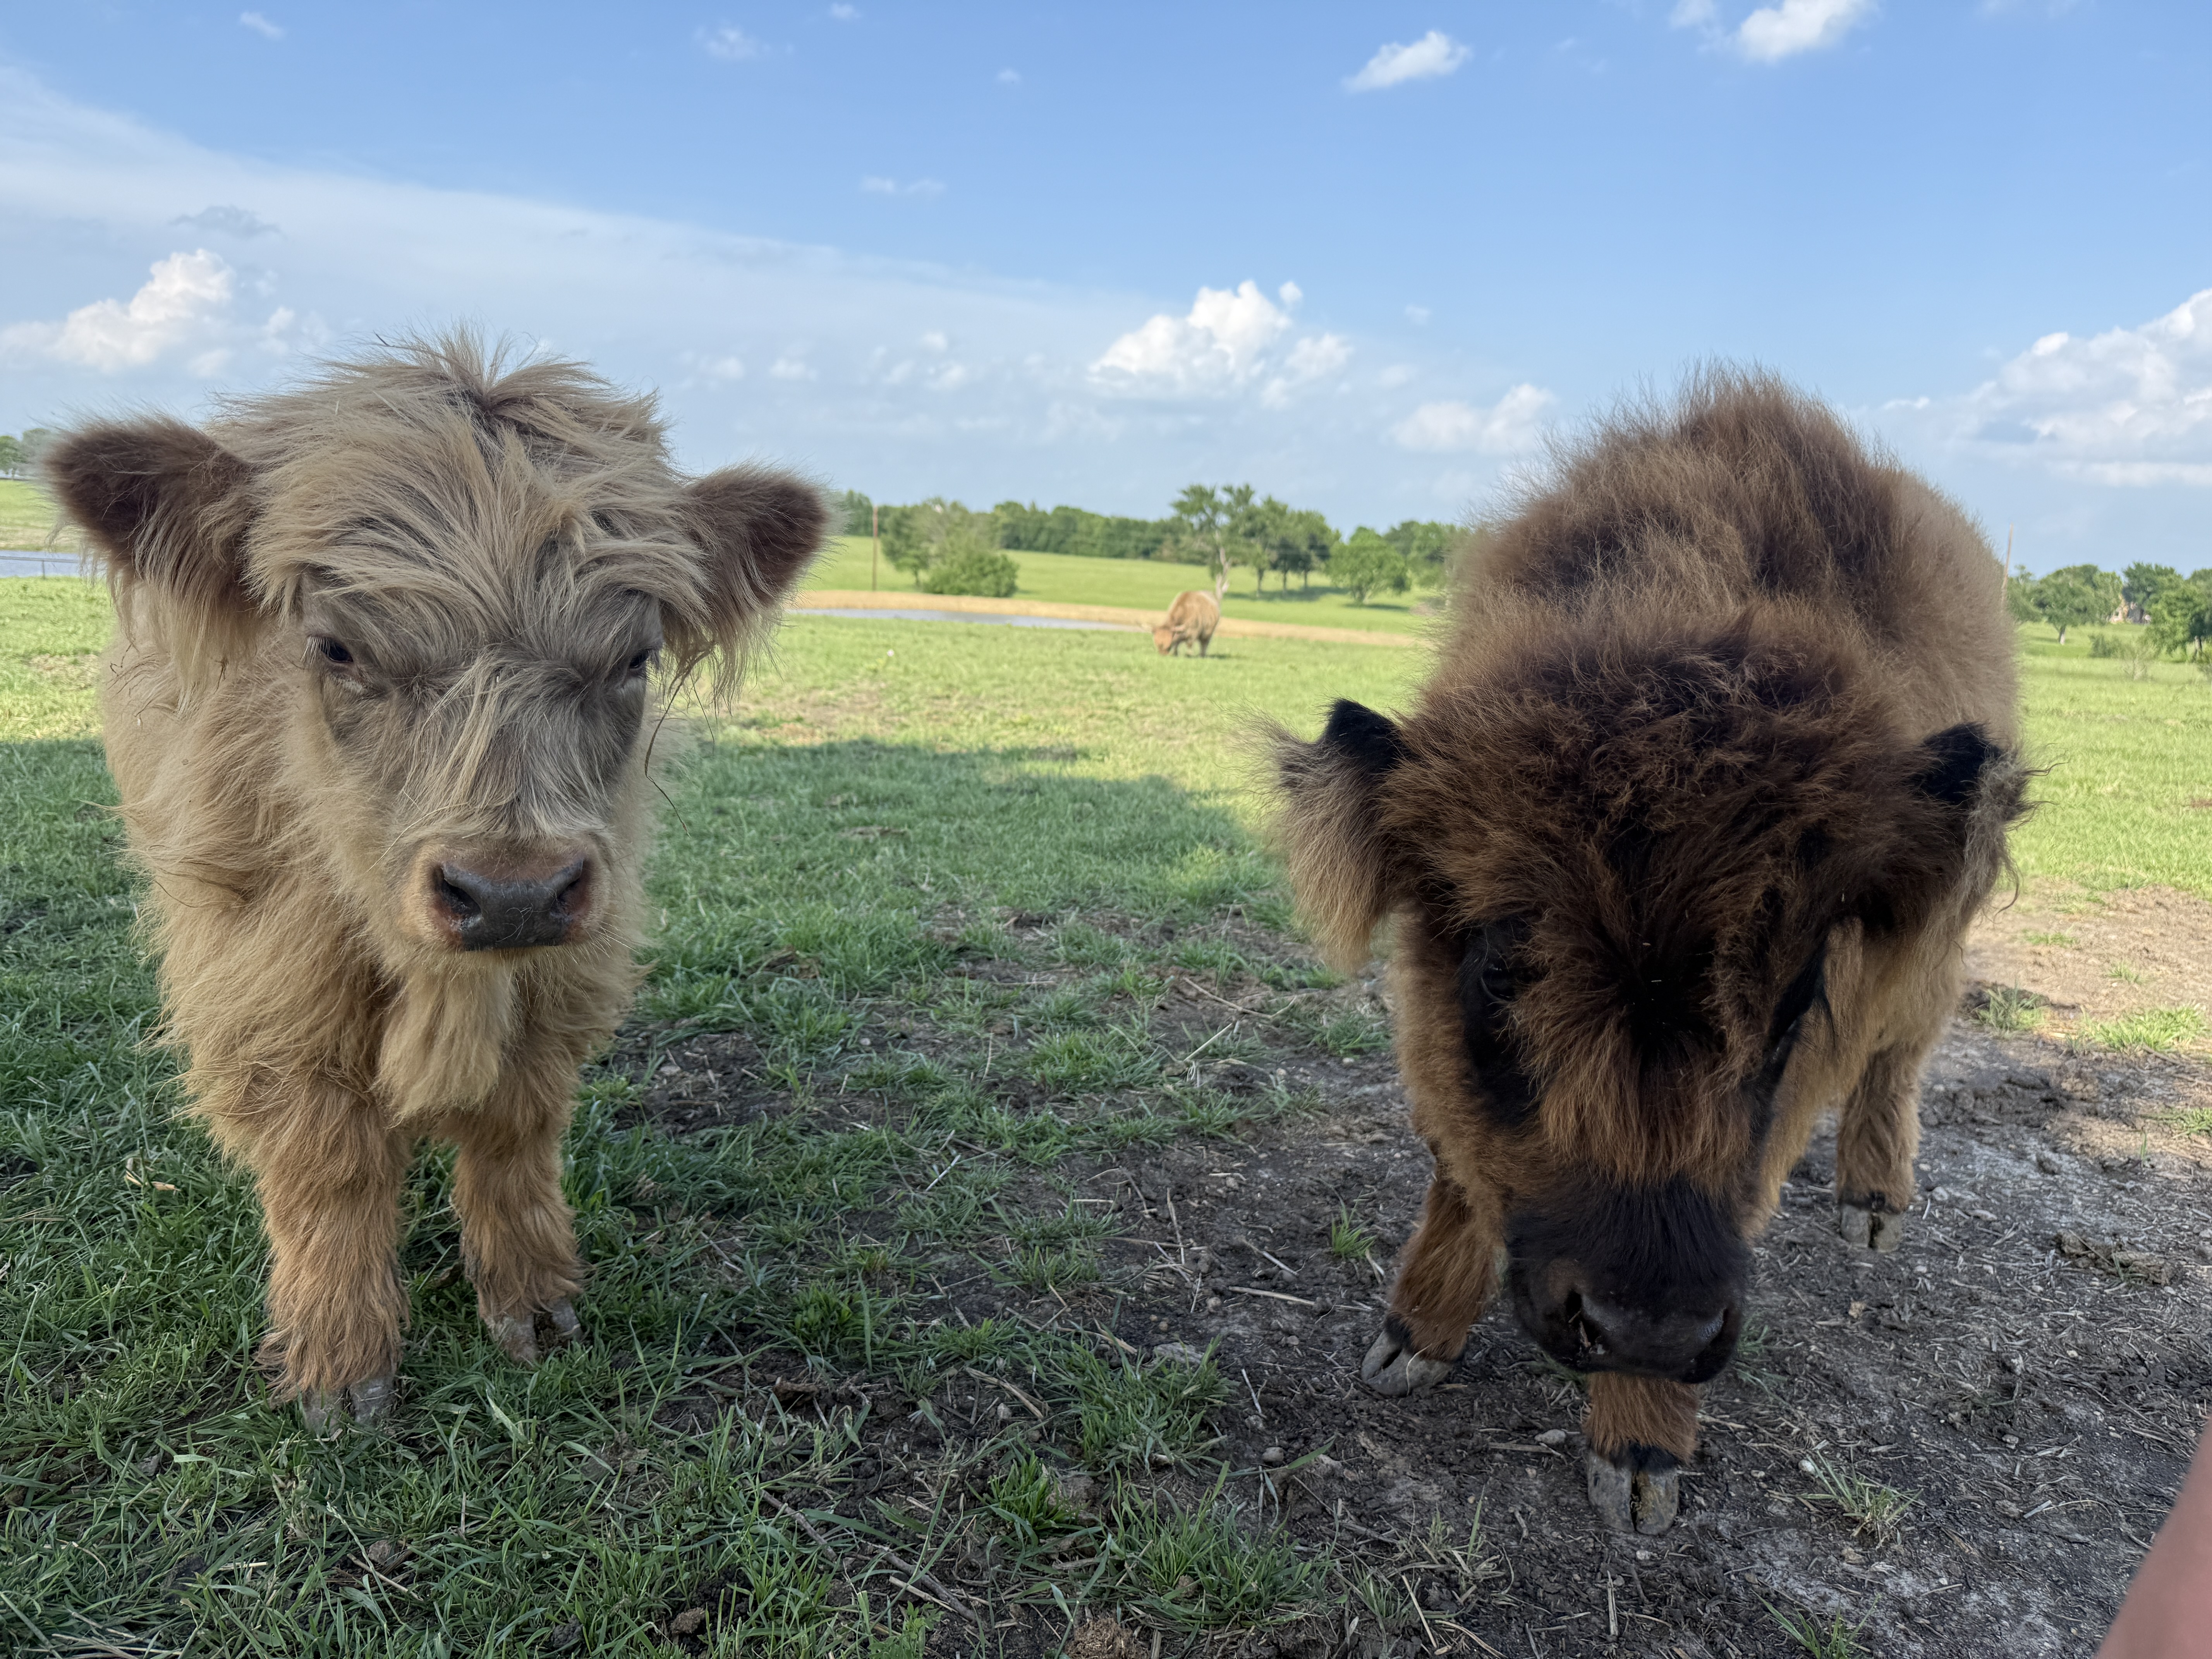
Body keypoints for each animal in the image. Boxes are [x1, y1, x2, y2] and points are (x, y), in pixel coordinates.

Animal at [45, 335, 826, 1430]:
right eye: (335, 648)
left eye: (634, 657)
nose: (510, 893)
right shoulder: (265, 978)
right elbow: (326, 1165)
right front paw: (341, 1365)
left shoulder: (567, 966)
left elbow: (514, 1128)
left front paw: (532, 1306)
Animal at [1153, 589, 1221, 656]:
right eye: (1157, 645)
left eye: (1169, 646)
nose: (1163, 654)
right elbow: (1176, 644)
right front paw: (1175, 653)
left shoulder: (1193, 633)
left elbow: (1189, 644)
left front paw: (1189, 654)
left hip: (1208, 634)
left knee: (1205, 644)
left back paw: (1202, 655)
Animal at [1270, 373, 2024, 1533]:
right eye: (1499, 977)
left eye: (1798, 998)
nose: (1650, 1331)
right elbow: (1460, 1158)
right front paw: (1411, 1340)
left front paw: (1639, 1462)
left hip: (1946, 919)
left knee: (1910, 1036)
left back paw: (1872, 1209)